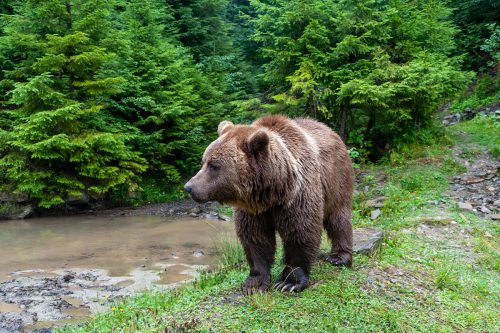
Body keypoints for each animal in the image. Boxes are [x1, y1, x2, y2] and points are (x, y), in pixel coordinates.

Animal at [186, 114, 354, 294]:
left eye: (214, 165)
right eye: (204, 161)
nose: (189, 187)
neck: (272, 190)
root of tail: (330, 130)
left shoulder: (298, 194)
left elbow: (300, 230)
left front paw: (289, 282)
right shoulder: (253, 209)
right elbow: (255, 237)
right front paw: (254, 283)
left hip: (336, 177)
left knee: (338, 216)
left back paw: (338, 256)